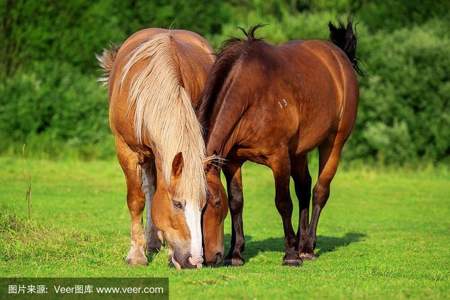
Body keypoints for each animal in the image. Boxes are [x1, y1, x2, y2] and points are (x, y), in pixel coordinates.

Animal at [98, 28, 220, 270]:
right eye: (177, 203)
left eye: (203, 205)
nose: (194, 261)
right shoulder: (127, 151)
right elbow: (137, 200)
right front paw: (136, 255)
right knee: (149, 189)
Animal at [200, 22, 358, 266]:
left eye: (216, 203)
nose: (209, 258)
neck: (251, 94)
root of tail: (340, 56)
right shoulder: (232, 161)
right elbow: (237, 201)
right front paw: (235, 254)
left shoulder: (279, 158)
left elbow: (283, 202)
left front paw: (291, 255)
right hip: (299, 152)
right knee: (304, 188)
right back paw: (302, 242)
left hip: (333, 143)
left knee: (319, 191)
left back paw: (307, 247)